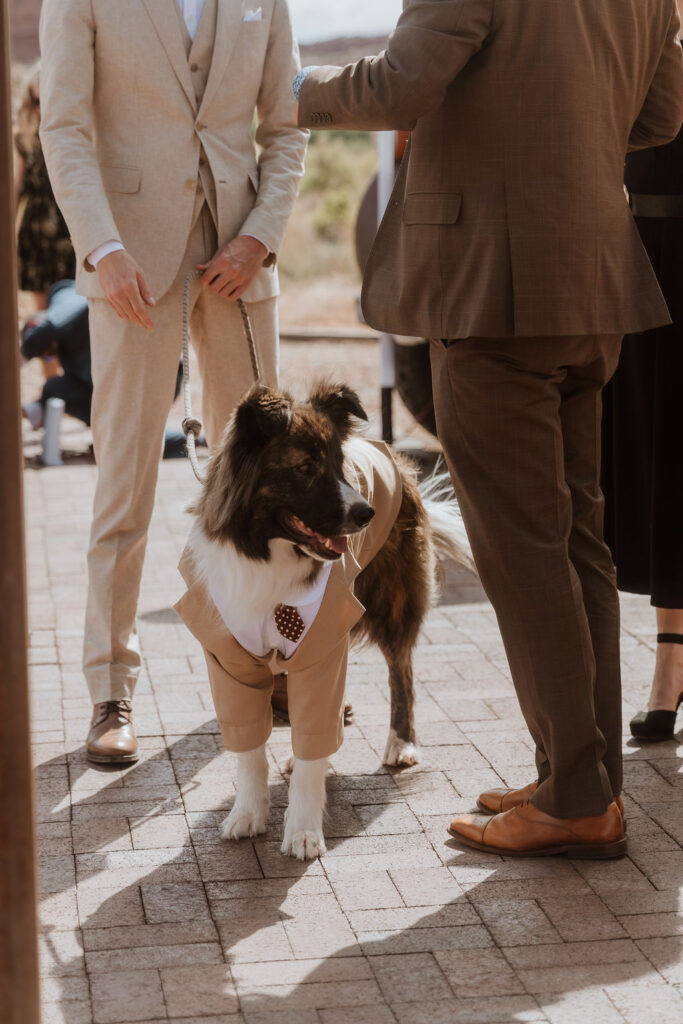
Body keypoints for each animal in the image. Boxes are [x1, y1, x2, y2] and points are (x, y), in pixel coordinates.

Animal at [179, 380, 473, 860]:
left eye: (339, 466)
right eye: (304, 467)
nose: (366, 514)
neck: (268, 552)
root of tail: (387, 450)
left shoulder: (321, 645)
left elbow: (315, 739)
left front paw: (302, 829)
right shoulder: (230, 660)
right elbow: (250, 747)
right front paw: (247, 812)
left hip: (391, 606)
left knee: (402, 675)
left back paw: (401, 743)